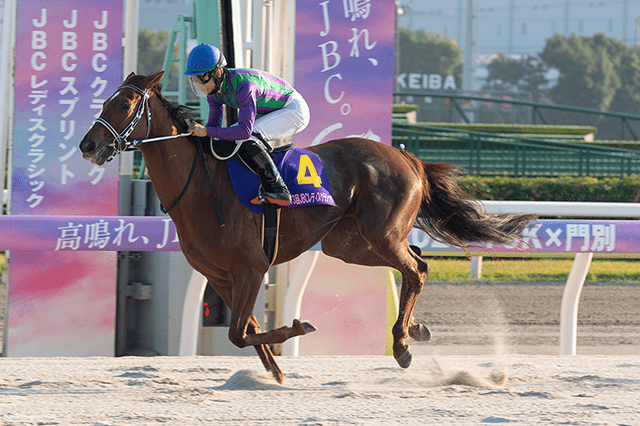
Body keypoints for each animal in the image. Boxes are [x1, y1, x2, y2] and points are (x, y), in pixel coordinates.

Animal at [79, 71, 536, 384]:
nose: (87, 145)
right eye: (106, 101)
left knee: (416, 269)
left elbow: (239, 333)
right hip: (347, 244)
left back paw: (402, 344)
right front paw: (276, 373)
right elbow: (247, 330)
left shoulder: (251, 268)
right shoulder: (220, 275)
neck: (201, 187)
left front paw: (297, 330)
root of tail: (407, 157)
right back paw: (414, 330)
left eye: (125, 105)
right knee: (416, 262)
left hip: (382, 234)